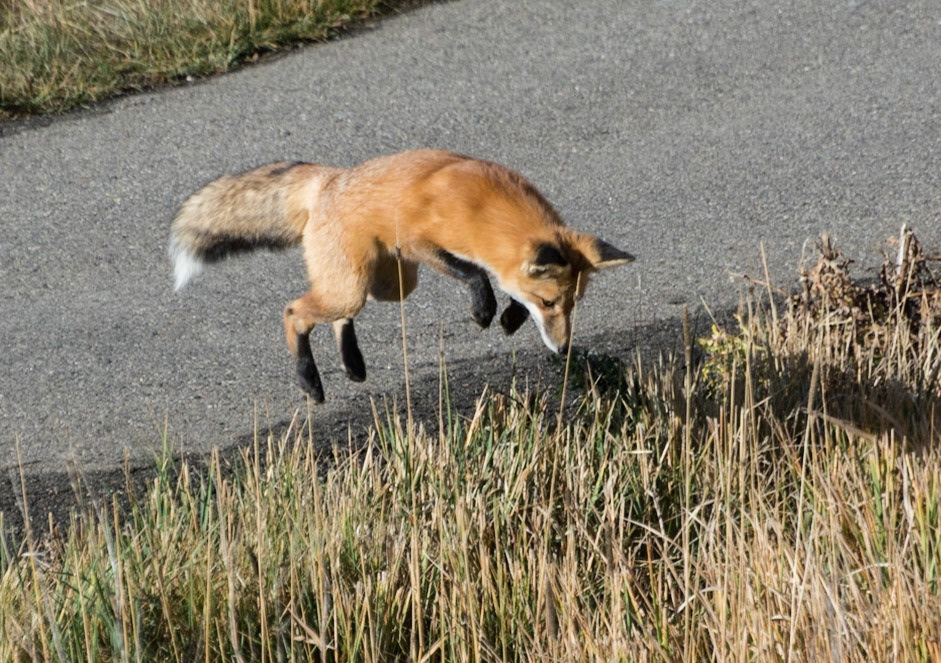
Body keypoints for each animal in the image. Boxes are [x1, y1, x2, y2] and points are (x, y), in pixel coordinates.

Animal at [169, 149, 634, 402]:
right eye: (549, 303)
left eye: (571, 305)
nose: (564, 350)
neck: (484, 210)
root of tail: (330, 180)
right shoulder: (417, 241)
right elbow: (473, 274)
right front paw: (484, 309)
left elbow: (506, 284)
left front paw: (508, 316)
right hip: (358, 284)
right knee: (295, 311)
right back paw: (309, 380)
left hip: (388, 285)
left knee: (337, 316)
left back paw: (352, 364)